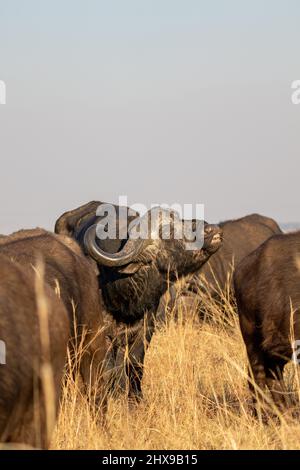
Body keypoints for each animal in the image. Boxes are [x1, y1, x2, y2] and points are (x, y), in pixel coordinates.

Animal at [55, 200, 223, 394]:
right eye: (168, 232)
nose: (211, 229)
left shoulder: (146, 328)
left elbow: (135, 363)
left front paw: (135, 396)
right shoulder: (102, 334)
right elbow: (108, 369)